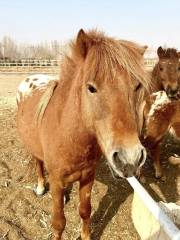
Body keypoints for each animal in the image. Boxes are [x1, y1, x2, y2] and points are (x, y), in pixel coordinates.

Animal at [16, 29, 149, 239]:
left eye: (137, 86)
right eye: (91, 87)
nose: (131, 158)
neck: (69, 137)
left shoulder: (87, 177)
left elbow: (85, 210)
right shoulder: (56, 180)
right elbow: (58, 222)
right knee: (38, 163)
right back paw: (40, 187)